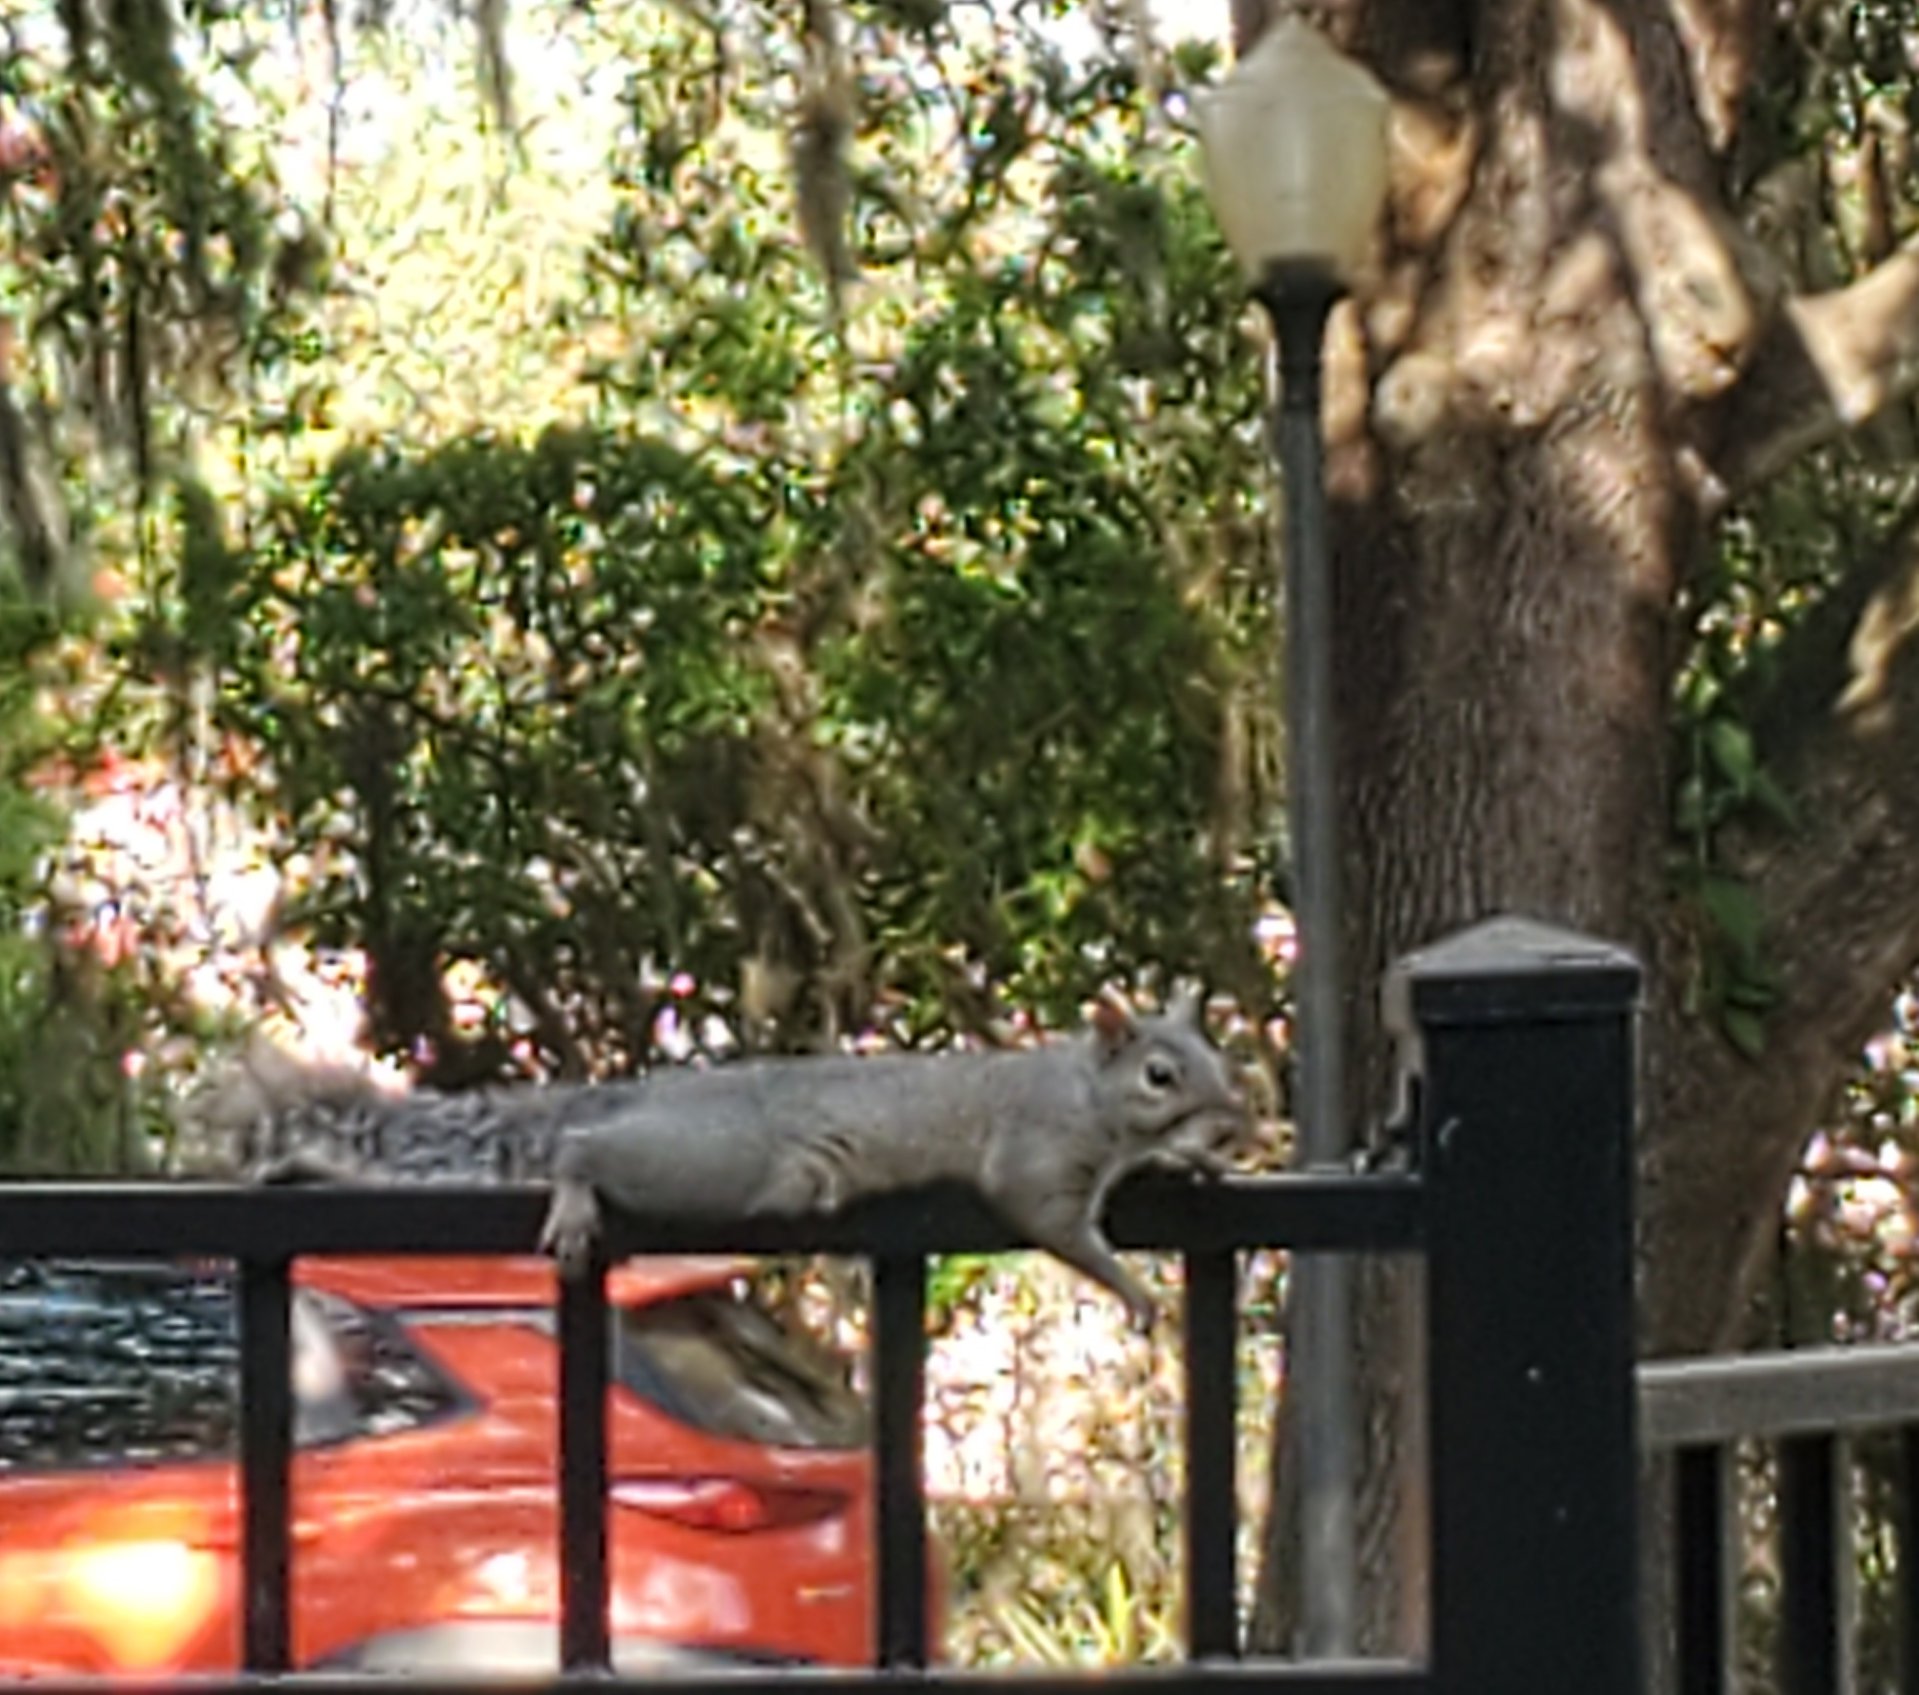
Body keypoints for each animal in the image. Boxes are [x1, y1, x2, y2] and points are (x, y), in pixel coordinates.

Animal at [199, 989, 1249, 1333]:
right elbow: (1056, 1225)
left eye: (1217, 1055)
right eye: (1160, 1073)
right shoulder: (1036, 1158)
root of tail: (628, 1094)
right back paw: (575, 1188)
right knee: (584, 1147)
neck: (1084, 1094)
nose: (1235, 1123)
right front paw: (1134, 1289)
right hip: (721, 1163)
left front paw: (1192, 1170)